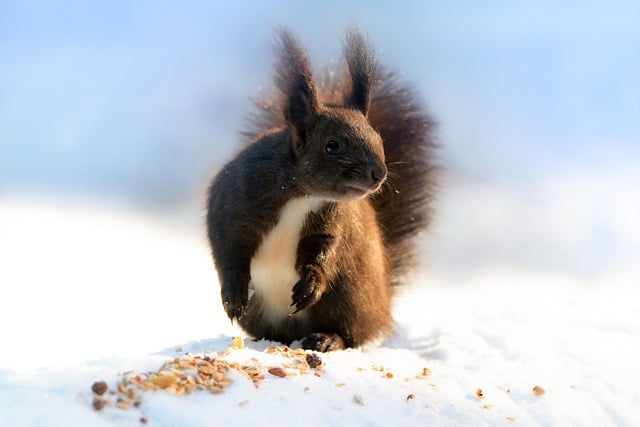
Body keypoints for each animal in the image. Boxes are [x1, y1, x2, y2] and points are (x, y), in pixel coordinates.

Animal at [206, 28, 437, 352]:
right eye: (333, 146)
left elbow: (324, 252)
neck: (303, 195)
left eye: (378, 139)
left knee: (351, 335)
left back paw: (326, 339)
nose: (379, 174)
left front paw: (310, 285)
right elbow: (228, 250)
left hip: (348, 296)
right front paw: (234, 296)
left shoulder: (330, 222)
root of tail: (383, 304)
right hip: (266, 311)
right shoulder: (235, 204)